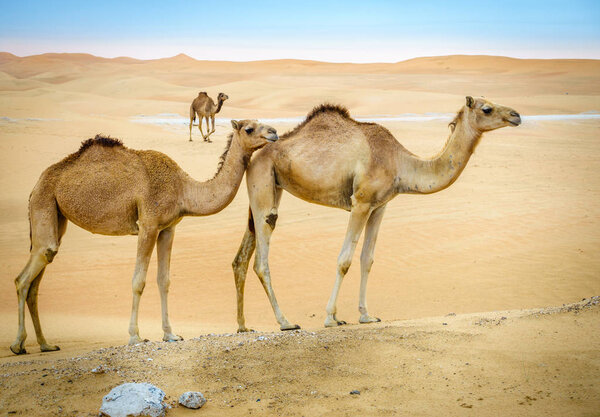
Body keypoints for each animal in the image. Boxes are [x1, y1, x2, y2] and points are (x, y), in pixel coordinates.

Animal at [11, 119, 278, 354]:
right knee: (25, 276)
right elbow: (138, 281)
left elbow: (164, 280)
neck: (183, 190)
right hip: (44, 202)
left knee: (38, 276)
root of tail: (36, 184)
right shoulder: (148, 224)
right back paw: (18, 345)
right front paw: (135, 336)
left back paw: (45, 344)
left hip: (56, 214)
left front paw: (171, 334)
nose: (274, 132)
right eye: (249, 128)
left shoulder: (168, 228)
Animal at [232, 96, 524, 330]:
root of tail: (255, 156)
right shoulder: (360, 201)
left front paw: (366, 315)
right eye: (487, 108)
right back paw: (285, 322)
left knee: (242, 258)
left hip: (271, 189)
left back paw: (245, 326)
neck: (400, 163)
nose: (516, 115)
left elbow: (367, 259)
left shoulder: (380, 206)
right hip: (263, 184)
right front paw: (331, 318)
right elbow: (344, 260)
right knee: (261, 259)